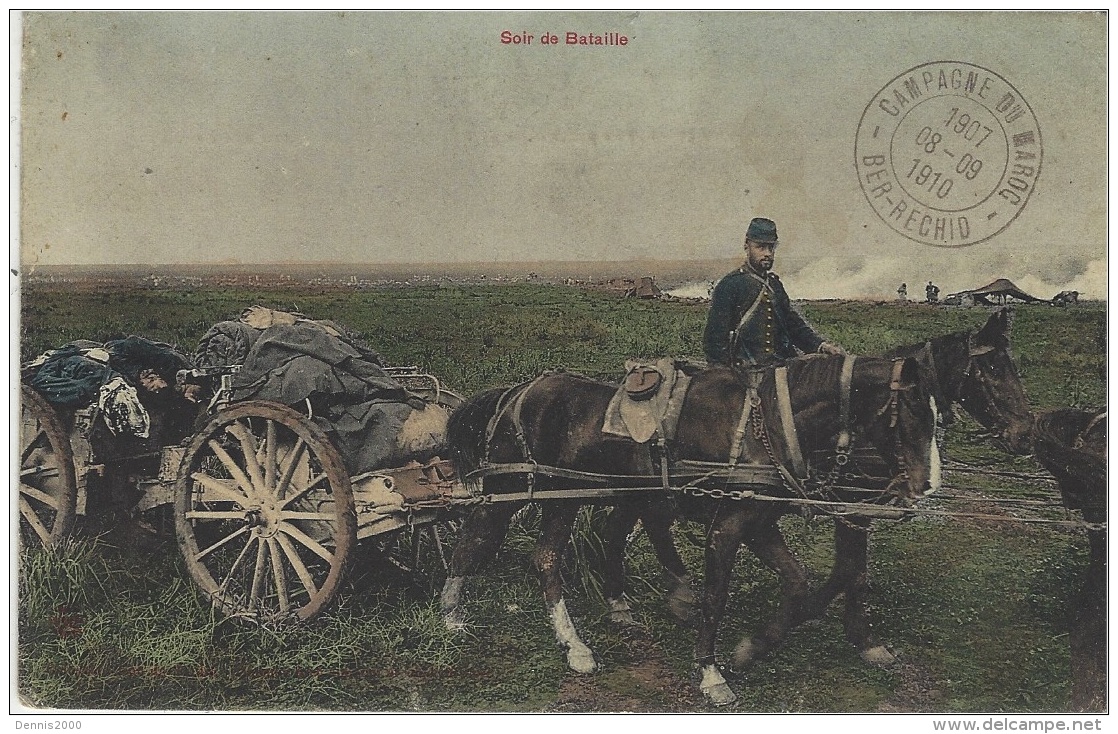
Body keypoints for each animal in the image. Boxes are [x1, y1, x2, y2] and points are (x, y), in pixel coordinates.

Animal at [440, 353, 939, 701]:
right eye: (914, 412)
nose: (926, 486)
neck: (764, 426)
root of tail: (516, 391)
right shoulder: (727, 528)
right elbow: (716, 597)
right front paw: (711, 673)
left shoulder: (758, 523)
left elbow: (798, 583)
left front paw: (751, 648)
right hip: (527, 491)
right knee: (501, 549)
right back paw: (500, 628)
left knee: (545, 548)